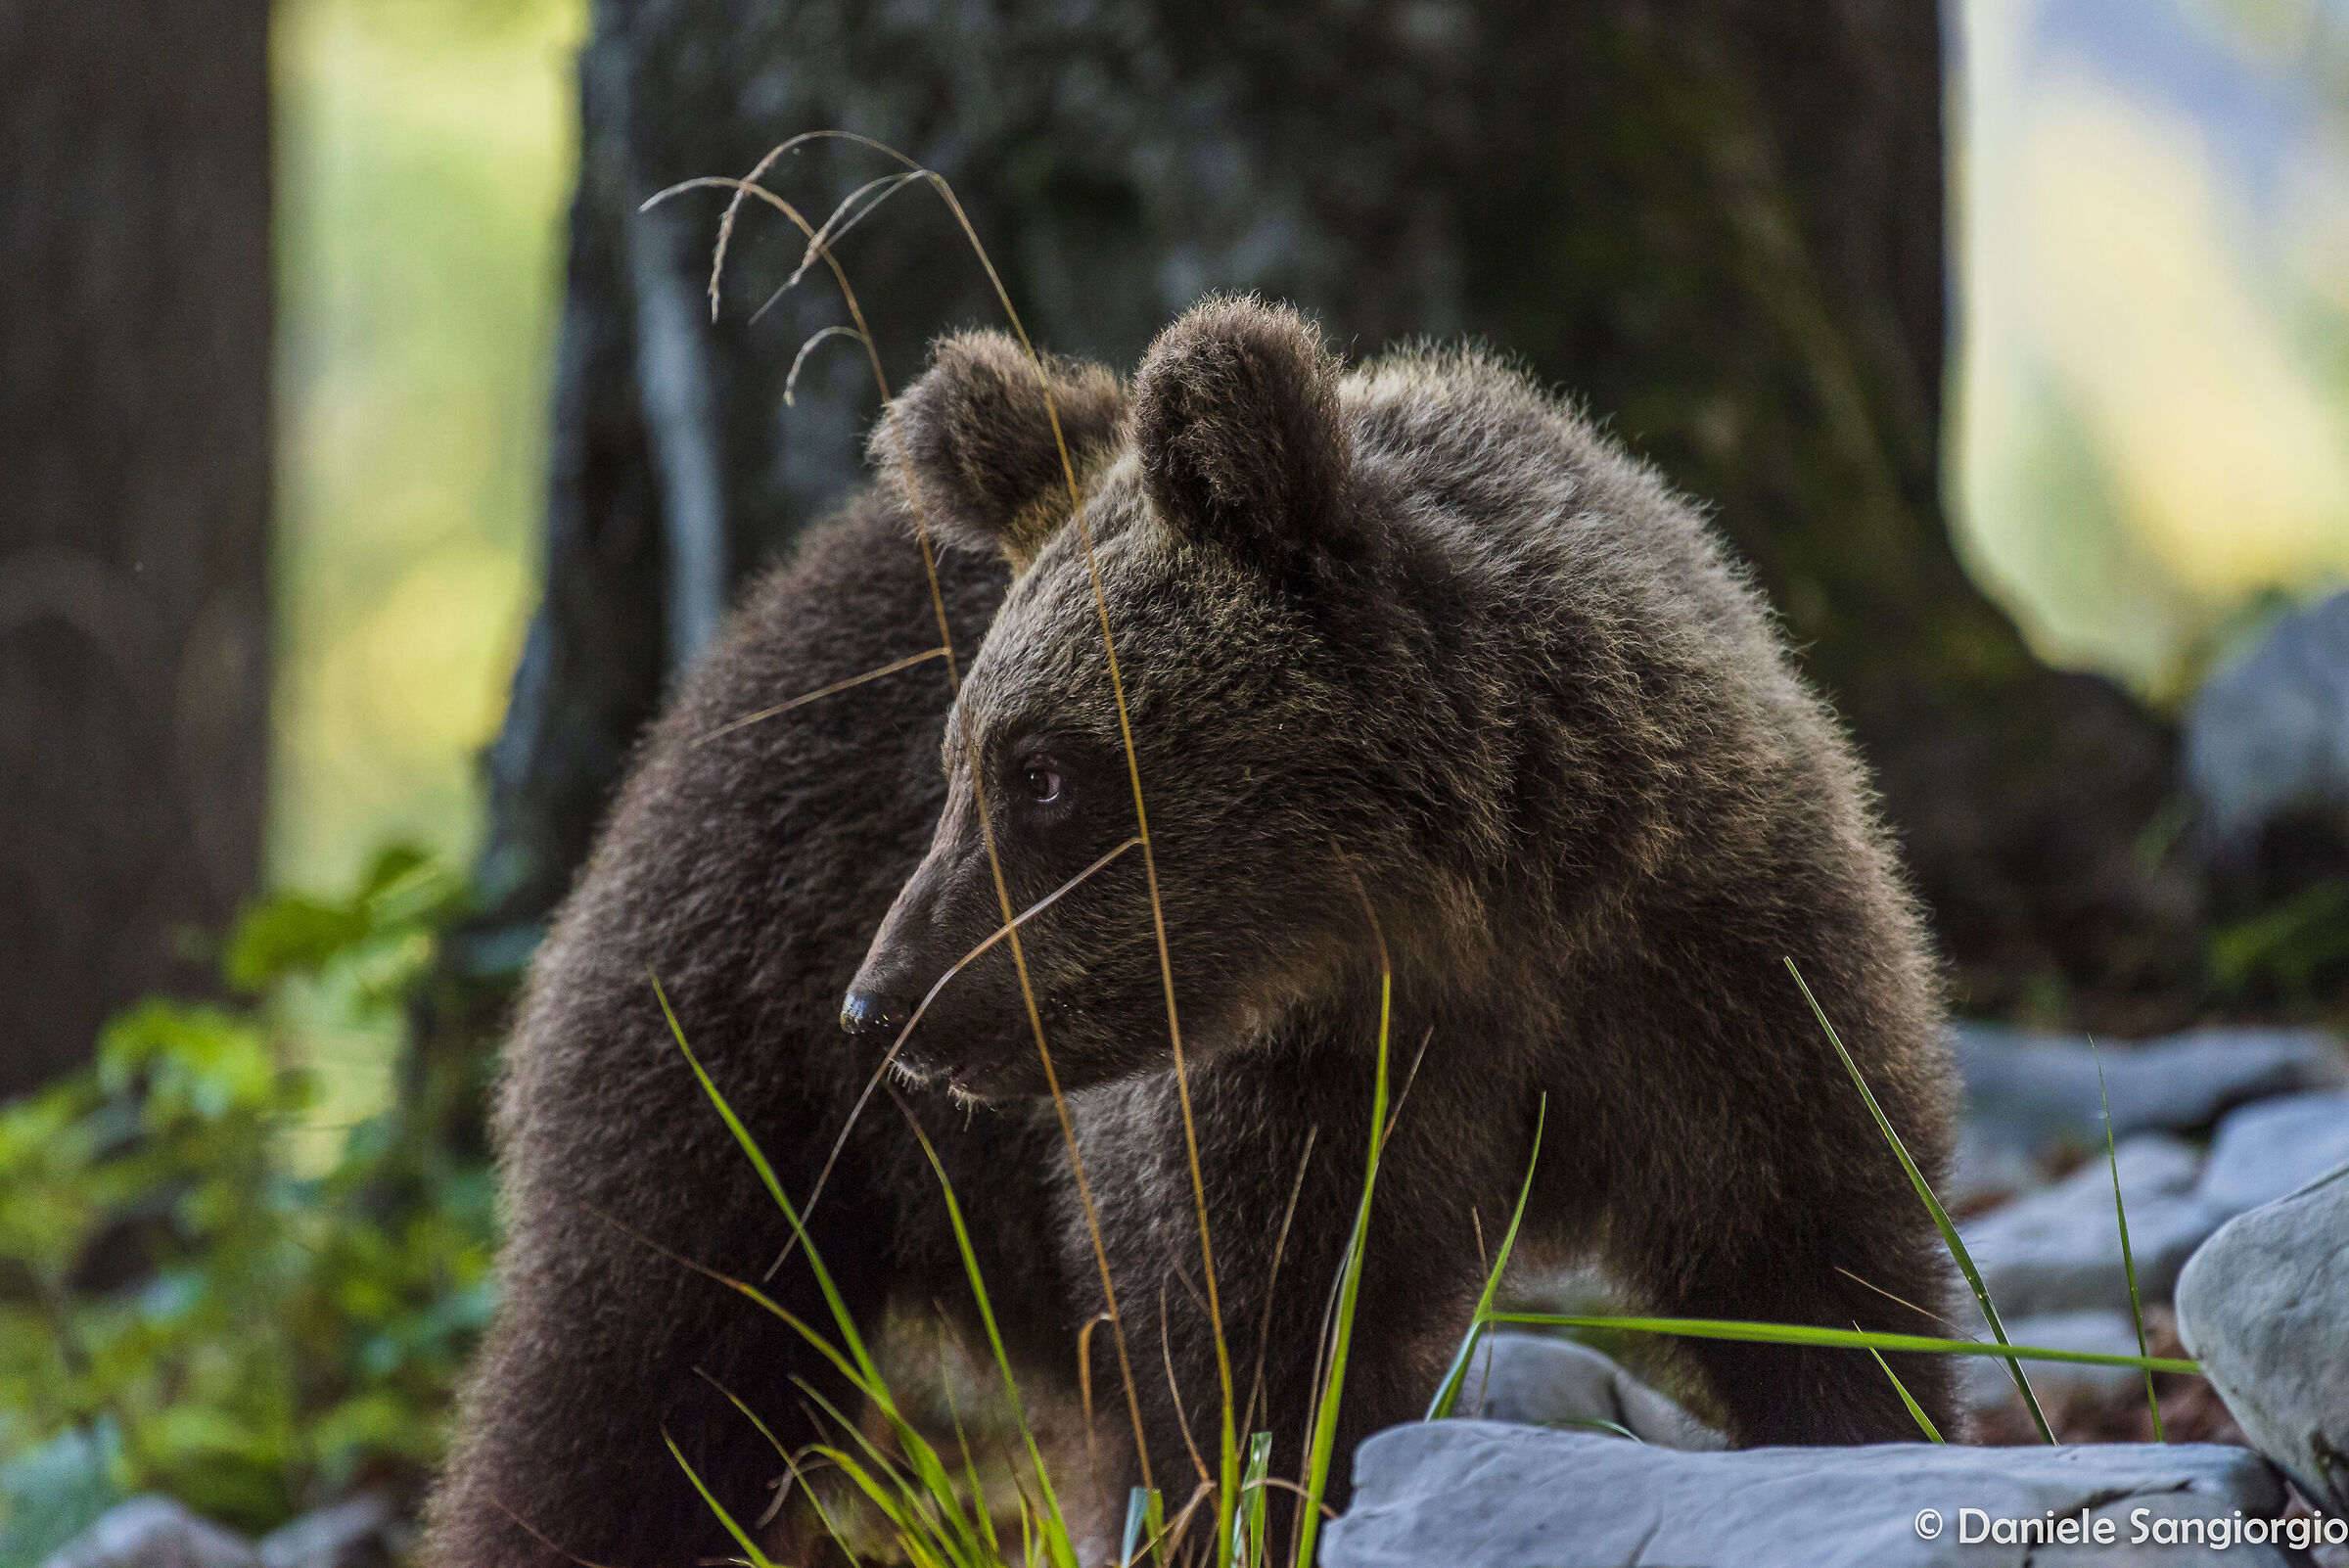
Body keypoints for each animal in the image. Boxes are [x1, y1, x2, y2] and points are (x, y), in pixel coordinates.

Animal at [424, 297, 1960, 1568]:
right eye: (960, 763)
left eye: (1042, 771)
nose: (887, 1006)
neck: (1454, 936)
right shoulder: (1263, 1112)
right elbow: (1248, 1379)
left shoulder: (1713, 979)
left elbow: (1826, 1278)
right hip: (739, 1034)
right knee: (645, 1366)